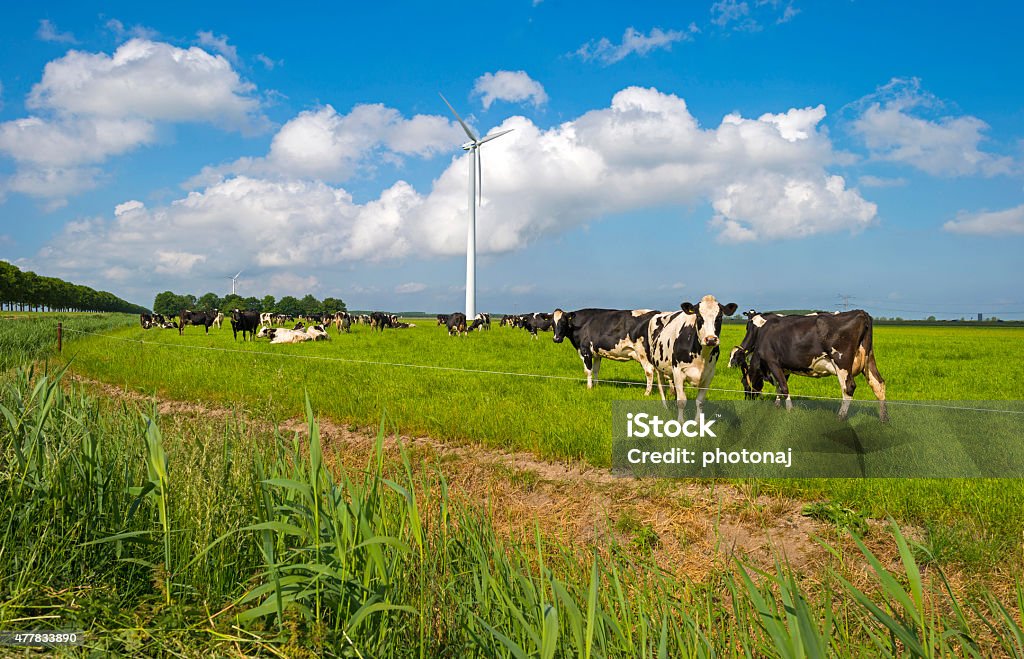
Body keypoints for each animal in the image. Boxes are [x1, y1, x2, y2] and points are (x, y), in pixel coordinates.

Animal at [729, 311, 888, 421]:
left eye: (743, 383)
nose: (747, 401)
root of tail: (861, 313)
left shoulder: (773, 362)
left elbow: (784, 388)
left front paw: (789, 410)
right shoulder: (784, 367)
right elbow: (779, 387)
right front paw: (777, 407)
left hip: (841, 362)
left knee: (848, 388)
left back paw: (840, 418)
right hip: (869, 360)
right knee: (878, 384)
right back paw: (884, 419)